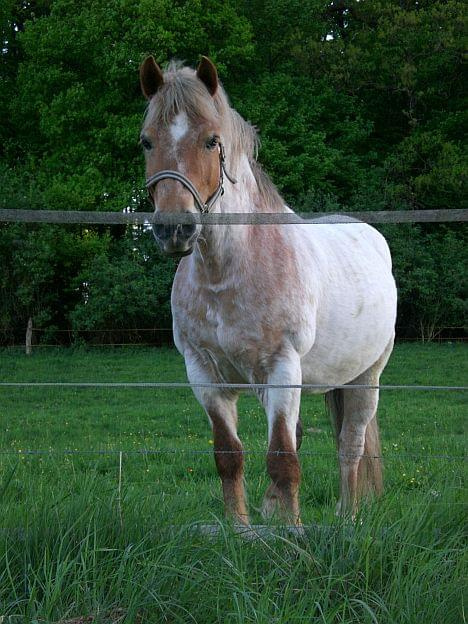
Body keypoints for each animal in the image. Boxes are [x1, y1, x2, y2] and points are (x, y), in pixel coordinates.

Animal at [138, 57, 394, 528]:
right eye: (147, 141)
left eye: (212, 140)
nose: (174, 229)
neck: (228, 272)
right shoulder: (205, 375)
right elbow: (229, 456)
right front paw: (240, 529)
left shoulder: (283, 369)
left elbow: (282, 459)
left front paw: (293, 533)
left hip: (366, 377)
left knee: (350, 445)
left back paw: (347, 517)